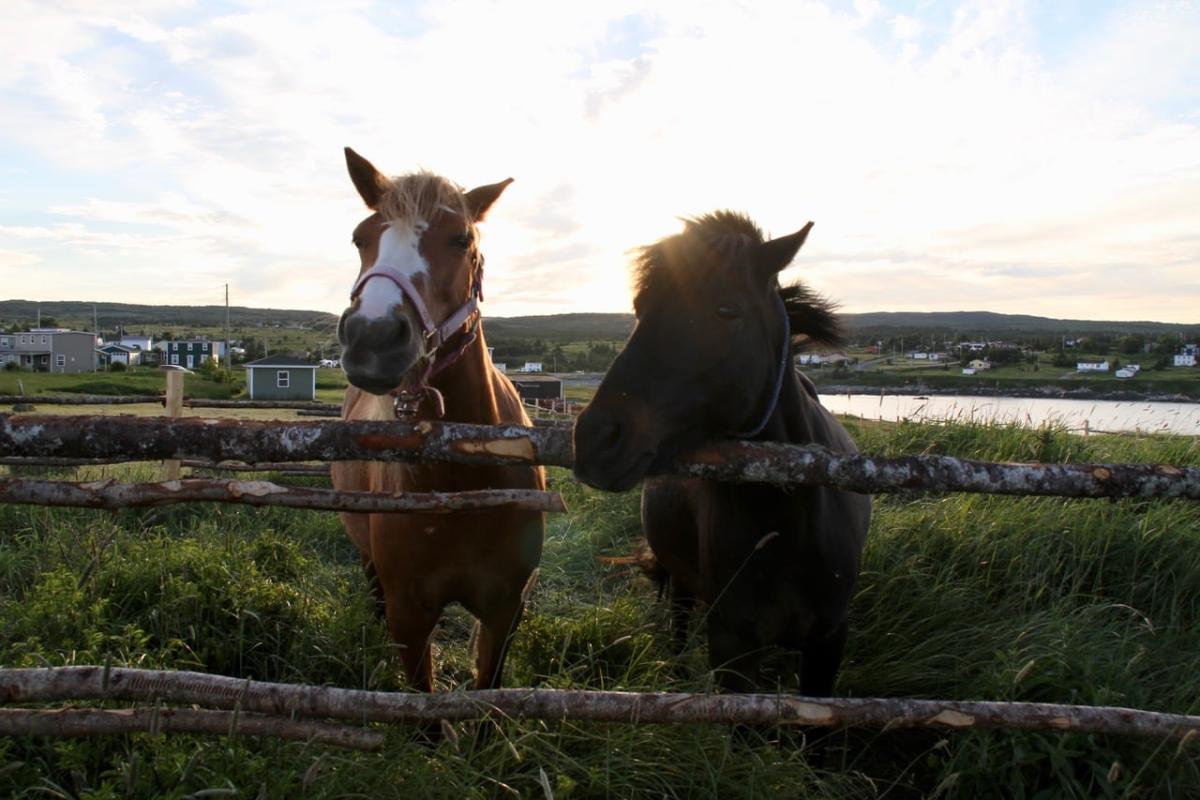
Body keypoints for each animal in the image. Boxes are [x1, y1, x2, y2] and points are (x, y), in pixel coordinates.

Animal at [333, 151, 549, 695]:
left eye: (461, 240)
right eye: (360, 237)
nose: (372, 337)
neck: (460, 479)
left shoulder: (504, 611)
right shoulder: (409, 617)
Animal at [573, 212, 868, 695]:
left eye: (726, 311)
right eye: (639, 307)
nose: (596, 439)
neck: (788, 524)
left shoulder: (828, 642)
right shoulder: (733, 648)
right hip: (681, 582)